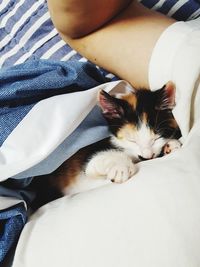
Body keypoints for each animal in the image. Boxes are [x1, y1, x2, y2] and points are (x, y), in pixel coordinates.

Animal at [29, 81, 181, 211]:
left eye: (157, 137)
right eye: (132, 140)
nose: (146, 156)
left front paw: (171, 145)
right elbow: (95, 162)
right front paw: (121, 167)